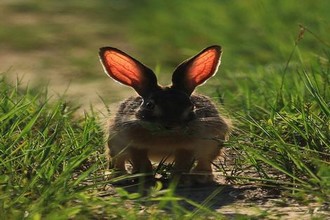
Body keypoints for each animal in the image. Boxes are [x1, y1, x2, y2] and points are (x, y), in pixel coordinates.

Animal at [99, 45, 231, 184]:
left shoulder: (188, 148)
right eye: (149, 105)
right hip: (114, 145)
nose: (172, 124)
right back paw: (118, 177)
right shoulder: (134, 145)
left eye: (191, 106)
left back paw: (202, 177)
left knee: (204, 161)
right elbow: (140, 160)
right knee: (118, 161)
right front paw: (144, 178)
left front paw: (179, 179)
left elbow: (183, 163)